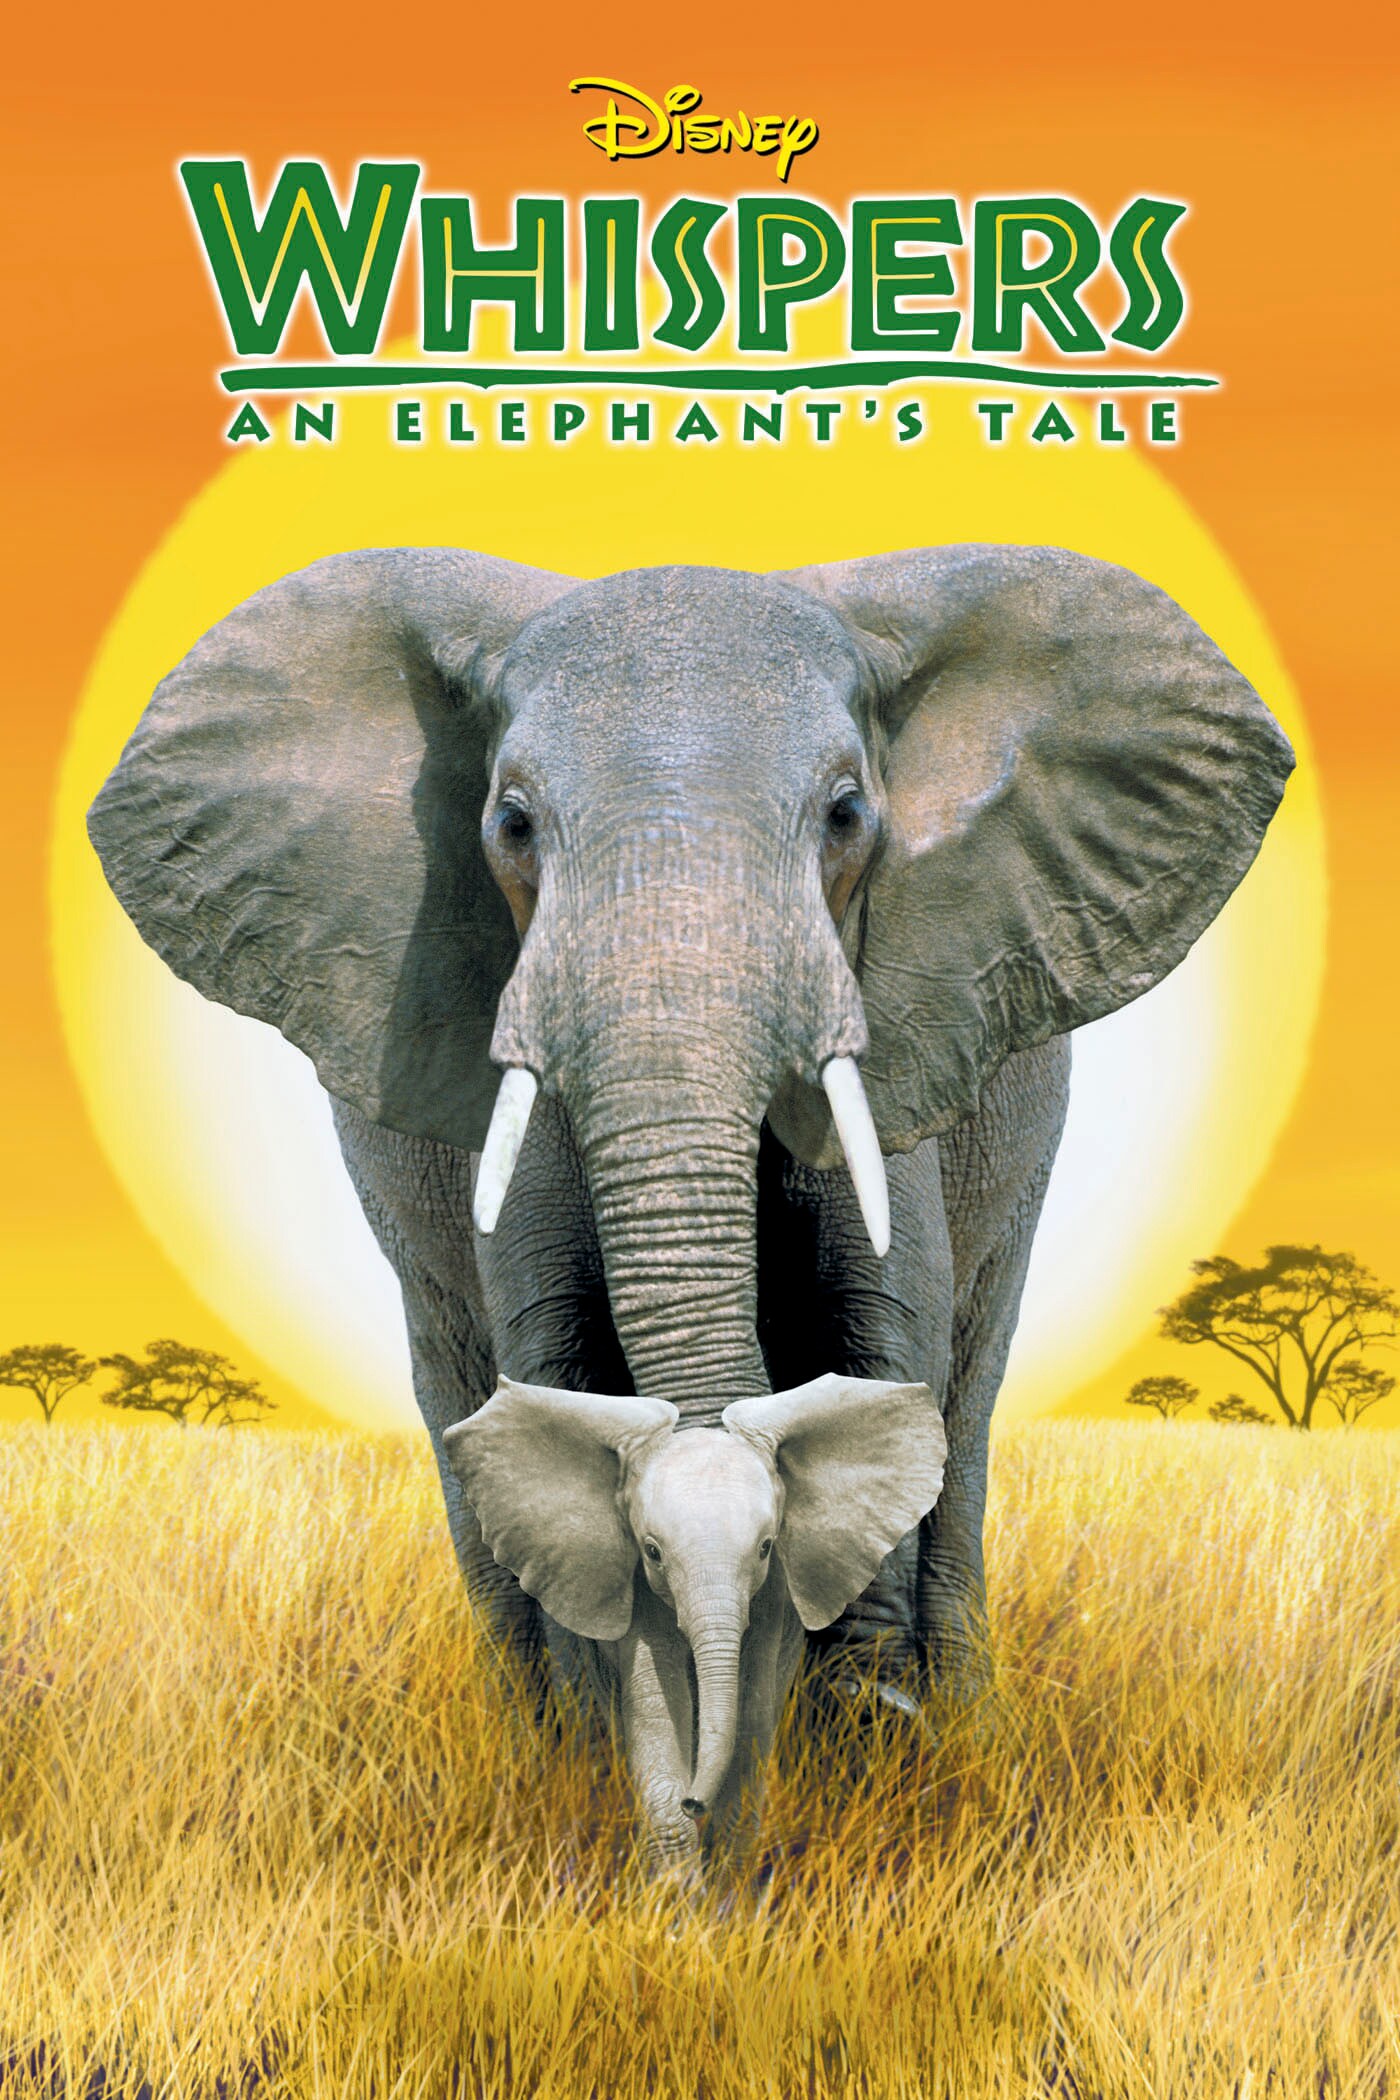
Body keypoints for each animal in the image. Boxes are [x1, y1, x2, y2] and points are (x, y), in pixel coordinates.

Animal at [87, 541, 1293, 1874]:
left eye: (845, 817)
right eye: (510, 825)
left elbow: (884, 1346)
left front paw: (862, 1756)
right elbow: (556, 1372)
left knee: (966, 1398)